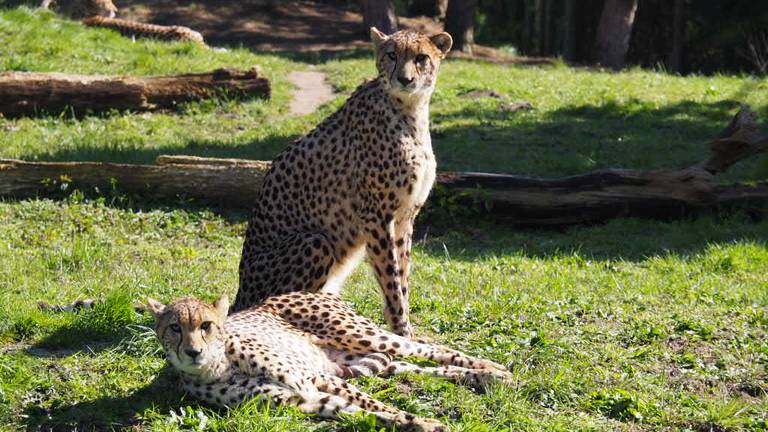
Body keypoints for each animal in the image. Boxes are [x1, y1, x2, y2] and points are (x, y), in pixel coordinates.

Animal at [148, 292, 510, 430]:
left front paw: (421, 421)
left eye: (206, 326)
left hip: (363, 335)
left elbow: (380, 406)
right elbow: (363, 412)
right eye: (174, 328)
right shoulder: (304, 399)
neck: (219, 367)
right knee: (421, 369)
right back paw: (483, 377)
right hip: (356, 358)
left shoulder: (314, 380)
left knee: (427, 348)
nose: (193, 352)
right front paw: (419, 423)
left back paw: (495, 369)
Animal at [237, 27, 452, 340]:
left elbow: (403, 275)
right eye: (391, 55)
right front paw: (402, 331)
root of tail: (239, 293)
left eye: (421, 58)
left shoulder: (404, 217)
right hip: (315, 241)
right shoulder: (377, 216)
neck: (410, 111)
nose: (405, 79)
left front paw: (406, 328)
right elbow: (390, 277)